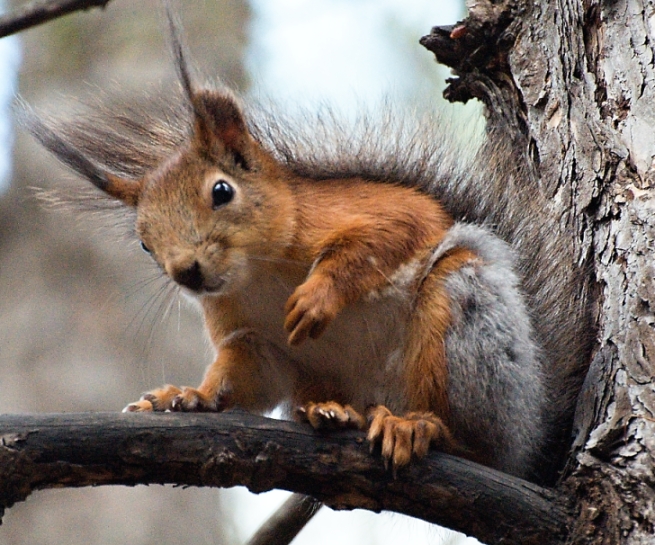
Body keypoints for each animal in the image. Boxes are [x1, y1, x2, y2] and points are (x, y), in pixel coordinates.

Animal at [23, 10, 592, 486]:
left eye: (221, 191)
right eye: (143, 243)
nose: (186, 272)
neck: (259, 276)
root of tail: (530, 441)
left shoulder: (377, 212)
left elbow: (387, 237)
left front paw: (318, 297)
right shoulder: (251, 336)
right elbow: (245, 372)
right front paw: (189, 397)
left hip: (465, 321)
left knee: (476, 441)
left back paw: (418, 427)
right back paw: (335, 413)